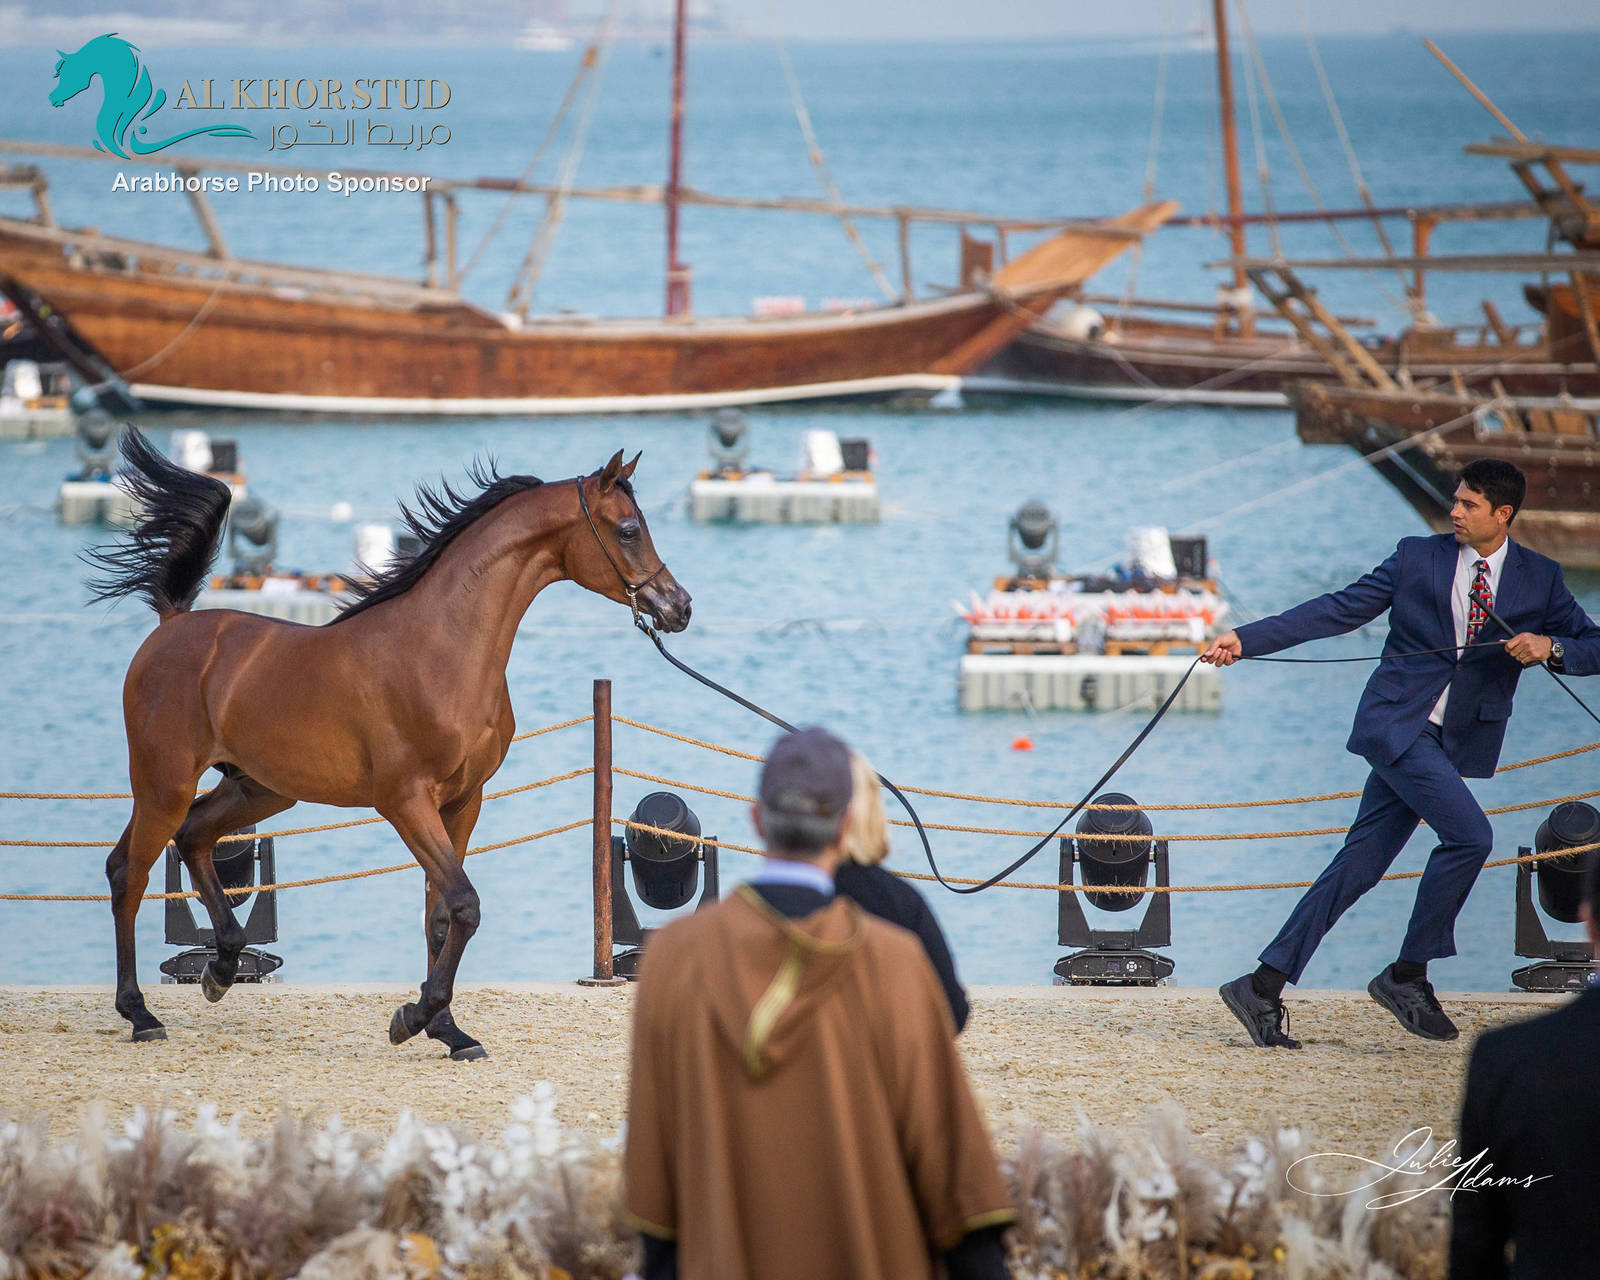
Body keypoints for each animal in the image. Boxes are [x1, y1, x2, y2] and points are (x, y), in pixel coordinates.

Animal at [87, 428, 691, 1058]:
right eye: (629, 529)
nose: (679, 607)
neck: (443, 647)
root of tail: (172, 624)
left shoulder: (462, 801)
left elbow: (441, 918)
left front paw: (448, 1031)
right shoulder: (405, 801)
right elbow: (466, 904)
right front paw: (414, 1016)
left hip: (259, 790)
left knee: (194, 837)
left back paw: (221, 969)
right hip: (164, 784)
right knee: (128, 872)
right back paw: (140, 1014)